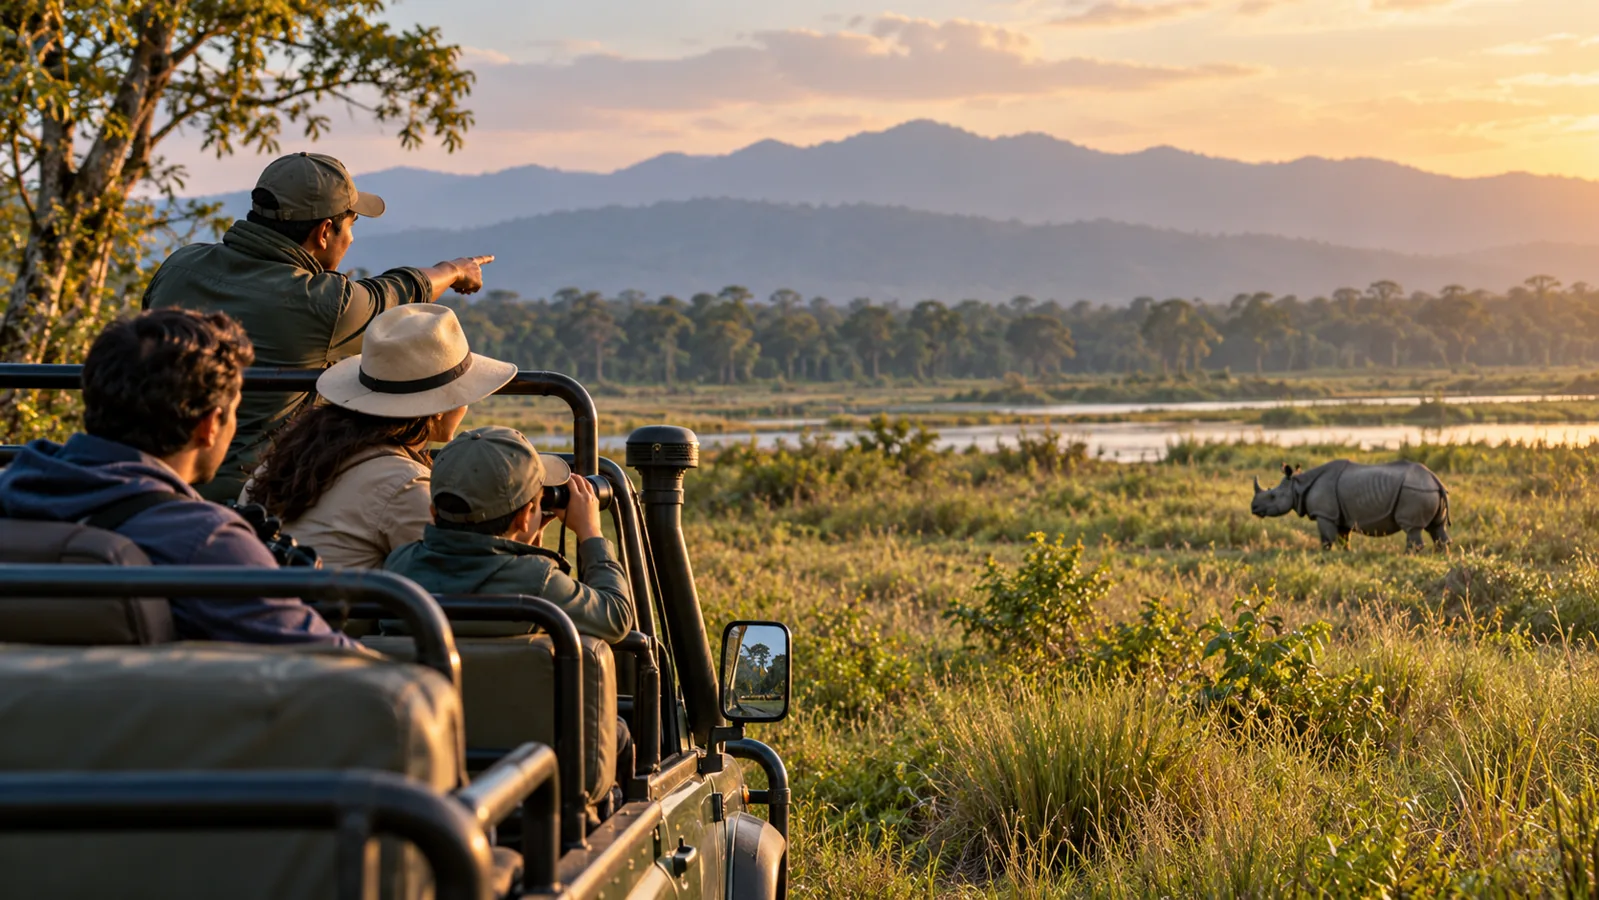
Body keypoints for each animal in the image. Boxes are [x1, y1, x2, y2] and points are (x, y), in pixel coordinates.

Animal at [1251, 460, 1451, 551]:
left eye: (1272, 496)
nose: (1253, 508)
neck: (1298, 486)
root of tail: (1436, 480)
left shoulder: (1324, 514)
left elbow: (1327, 539)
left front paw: (1325, 557)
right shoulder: (1340, 516)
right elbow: (1343, 539)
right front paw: (1345, 553)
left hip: (1415, 492)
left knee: (1412, 528)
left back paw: (1409, 556)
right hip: (1428, 491)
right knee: (1437, 528)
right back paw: (1441, 556)